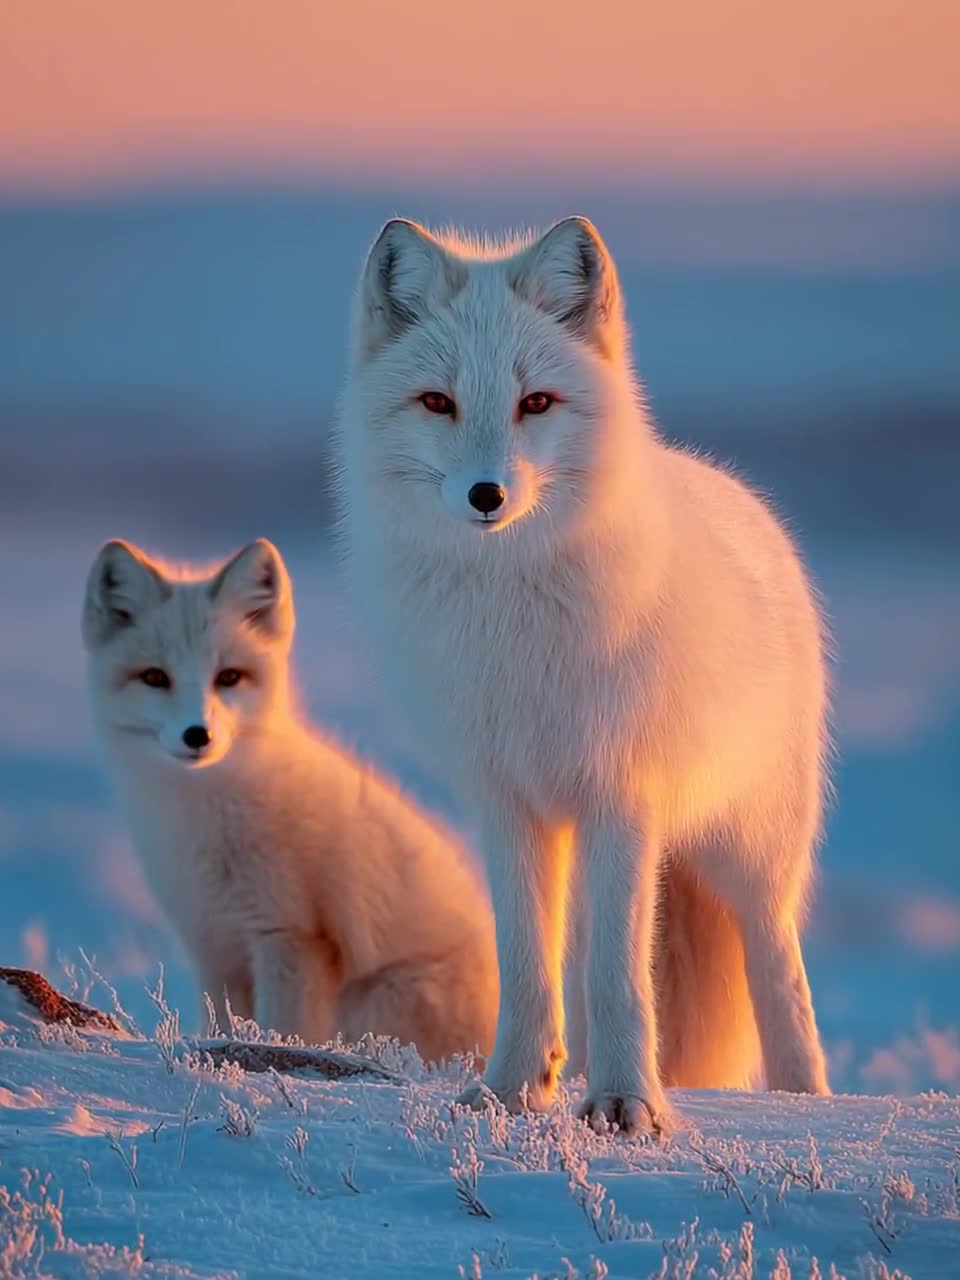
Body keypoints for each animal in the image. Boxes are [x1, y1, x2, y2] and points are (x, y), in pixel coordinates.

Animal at [82, 536, 500, 1063]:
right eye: (155, 677)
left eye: (229, 677)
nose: (198, 735)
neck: (206, 821)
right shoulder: (214, 950)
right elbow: (223, 1025)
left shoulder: (290, 938)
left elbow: (284, 1033)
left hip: (376, 1000)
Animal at [335, 215, 831, 1134]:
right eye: (437, 403)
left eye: (535, 403)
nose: (486, 494)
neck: (517, 625)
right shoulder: (506, 800)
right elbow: (529, 967)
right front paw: (510, 1089)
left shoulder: (622, 795)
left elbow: (618, 978)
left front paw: (628, 1103)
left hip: (752, 851)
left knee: (778, 967)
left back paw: (803, 1097)